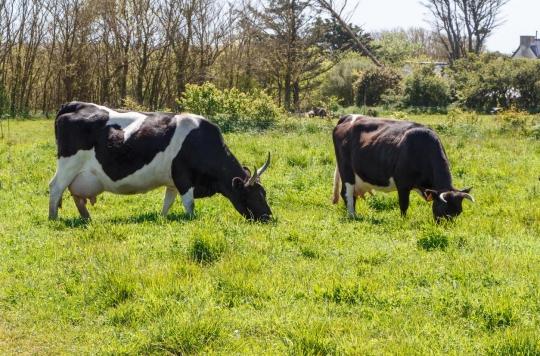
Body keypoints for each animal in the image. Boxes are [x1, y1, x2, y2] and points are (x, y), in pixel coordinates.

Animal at [48, 101, 272, 221]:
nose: (269, 217)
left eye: (264, 193)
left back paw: (87, 219)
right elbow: (189, 204)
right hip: (68, 165)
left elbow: (168, 202)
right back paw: (53, 218)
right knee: (55, 187)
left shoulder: (173, 182)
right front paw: (191, 220)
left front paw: (162, 218)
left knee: (76, 195)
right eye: (254, 195)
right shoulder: (184, 178)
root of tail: (76, 105)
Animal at [332, 114, 474, 221]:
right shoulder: (403, 184)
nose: (446, 230)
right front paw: (403, 221)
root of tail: (348, 117)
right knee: (347, 194)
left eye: (458, 212)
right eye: (443, 210)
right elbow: (404, 205)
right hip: (346, 171)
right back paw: (352, 216)